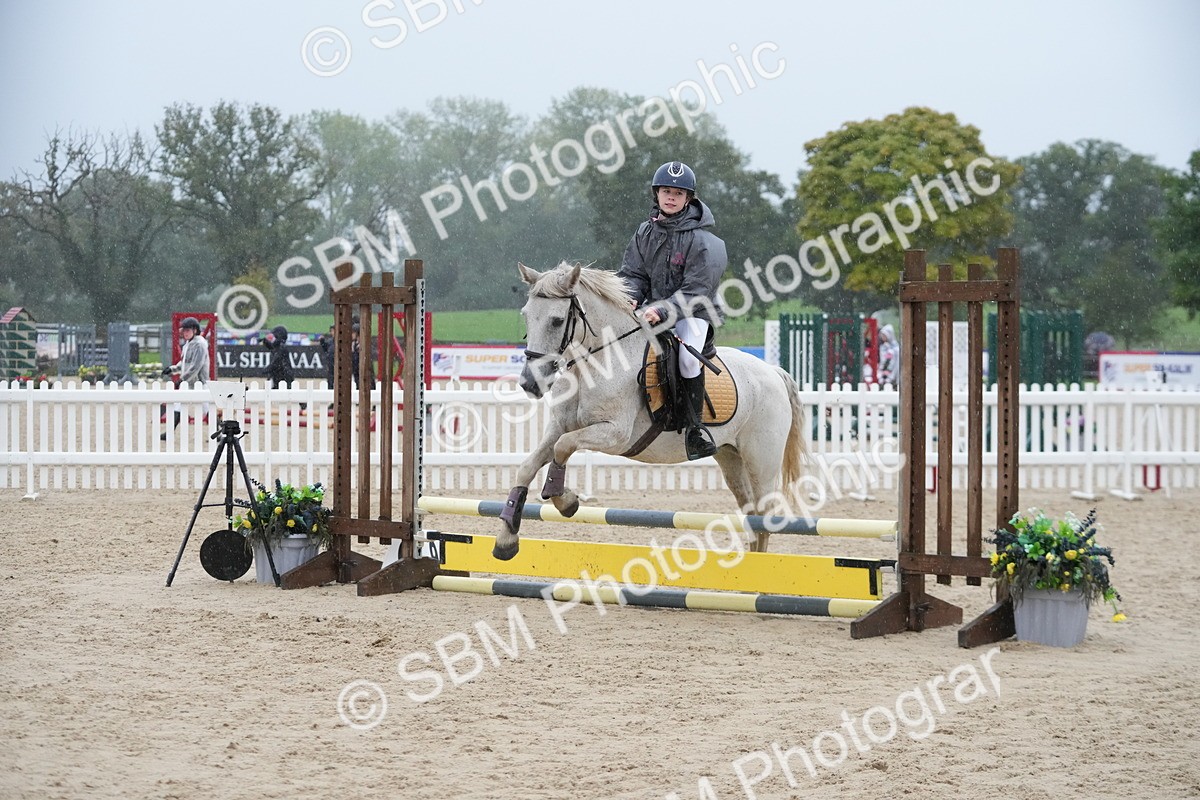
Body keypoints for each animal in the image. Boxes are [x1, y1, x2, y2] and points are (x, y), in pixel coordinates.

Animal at [492, 261, 811, 561]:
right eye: (526, 315)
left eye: (557, 321)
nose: (530, 383)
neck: (597, 363)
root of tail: (772, 371)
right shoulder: (559, 426)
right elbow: (528, 466)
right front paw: (507, 540)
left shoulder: (614, 434)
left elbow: (563, 446)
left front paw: (566, 500)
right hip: (731, 459)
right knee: (751, 515)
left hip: (761, 462)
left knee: (764, 517)